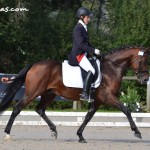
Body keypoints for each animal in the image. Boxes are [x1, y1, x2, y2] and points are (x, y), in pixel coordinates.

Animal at [0, 45, 149, 143]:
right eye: (144, 61)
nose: (145, 79)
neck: (111, 68)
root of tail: (34, 65)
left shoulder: (97, 101)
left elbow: (88, 117)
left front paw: (80, 136)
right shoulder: (108, 97)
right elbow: (126, 110)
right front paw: (137, 132)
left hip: (49, 94)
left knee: (40, 109)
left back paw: (54, 130)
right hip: (33, 92)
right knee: (17, 108)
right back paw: (7, 134)